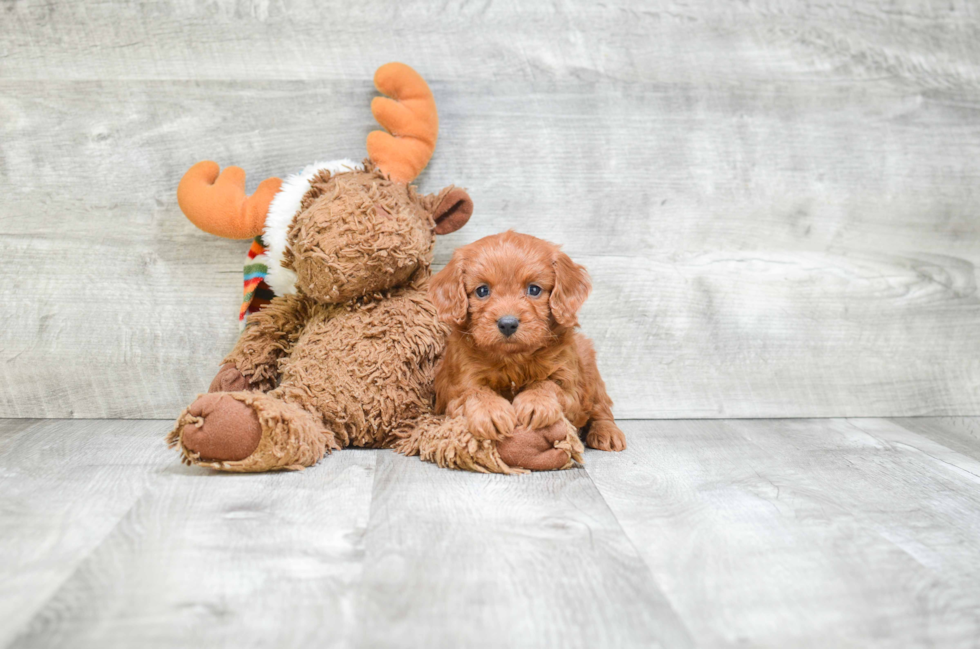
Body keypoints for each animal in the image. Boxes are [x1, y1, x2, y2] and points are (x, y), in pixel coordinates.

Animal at [428, 230, 628, 454]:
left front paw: (535, 402)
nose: (508, 324)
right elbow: (474, 391)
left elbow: (549, 384)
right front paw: (490, 411)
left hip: (589, 368)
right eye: (482, 291)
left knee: (601, 408)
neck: (514, 358)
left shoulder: (570, 386)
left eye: (534, 290)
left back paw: (607, 432)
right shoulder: (458, 384)